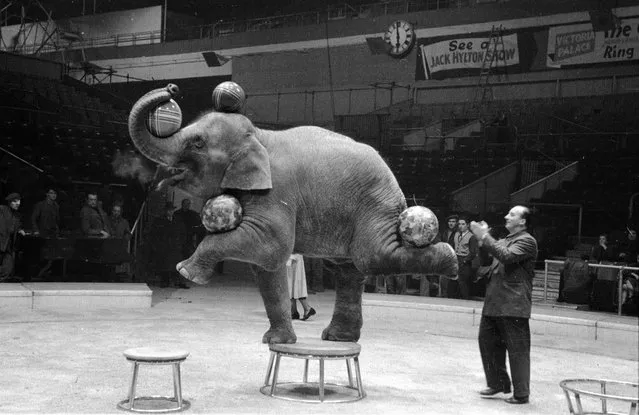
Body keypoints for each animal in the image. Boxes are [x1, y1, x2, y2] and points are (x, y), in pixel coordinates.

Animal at [130, 83, 458, 344]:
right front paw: (277, 341)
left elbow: (273, 246)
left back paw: (451, 260)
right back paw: (337, 338)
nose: (172, 88)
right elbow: (267, 266)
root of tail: (394, 181)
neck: (260, 135)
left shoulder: (277, 190)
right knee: (348, 269)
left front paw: (186, 272)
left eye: (197, 143)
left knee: (372, 256)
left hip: (374, 204)